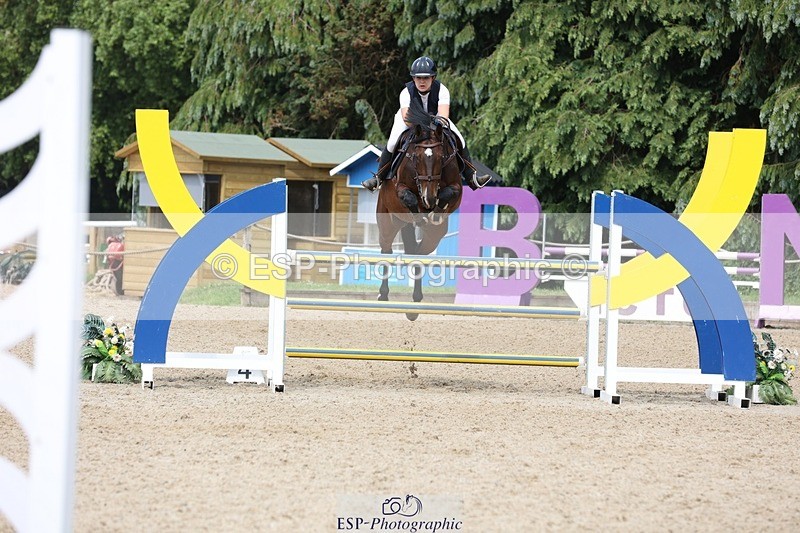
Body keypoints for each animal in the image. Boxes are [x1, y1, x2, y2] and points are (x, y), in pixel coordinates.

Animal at [375, 97, 464, 320]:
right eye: (415, 157)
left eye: (441, 157)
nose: (428, 196)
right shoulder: (400, 188)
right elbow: (407, 196)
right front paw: (421, 212)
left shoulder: (456, 188)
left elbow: (448, 193)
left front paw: (435, 208)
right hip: (388, 223)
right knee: (386, 251)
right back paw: (383, 295)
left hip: (434, 236)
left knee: (418, 255)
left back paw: (415, 304)